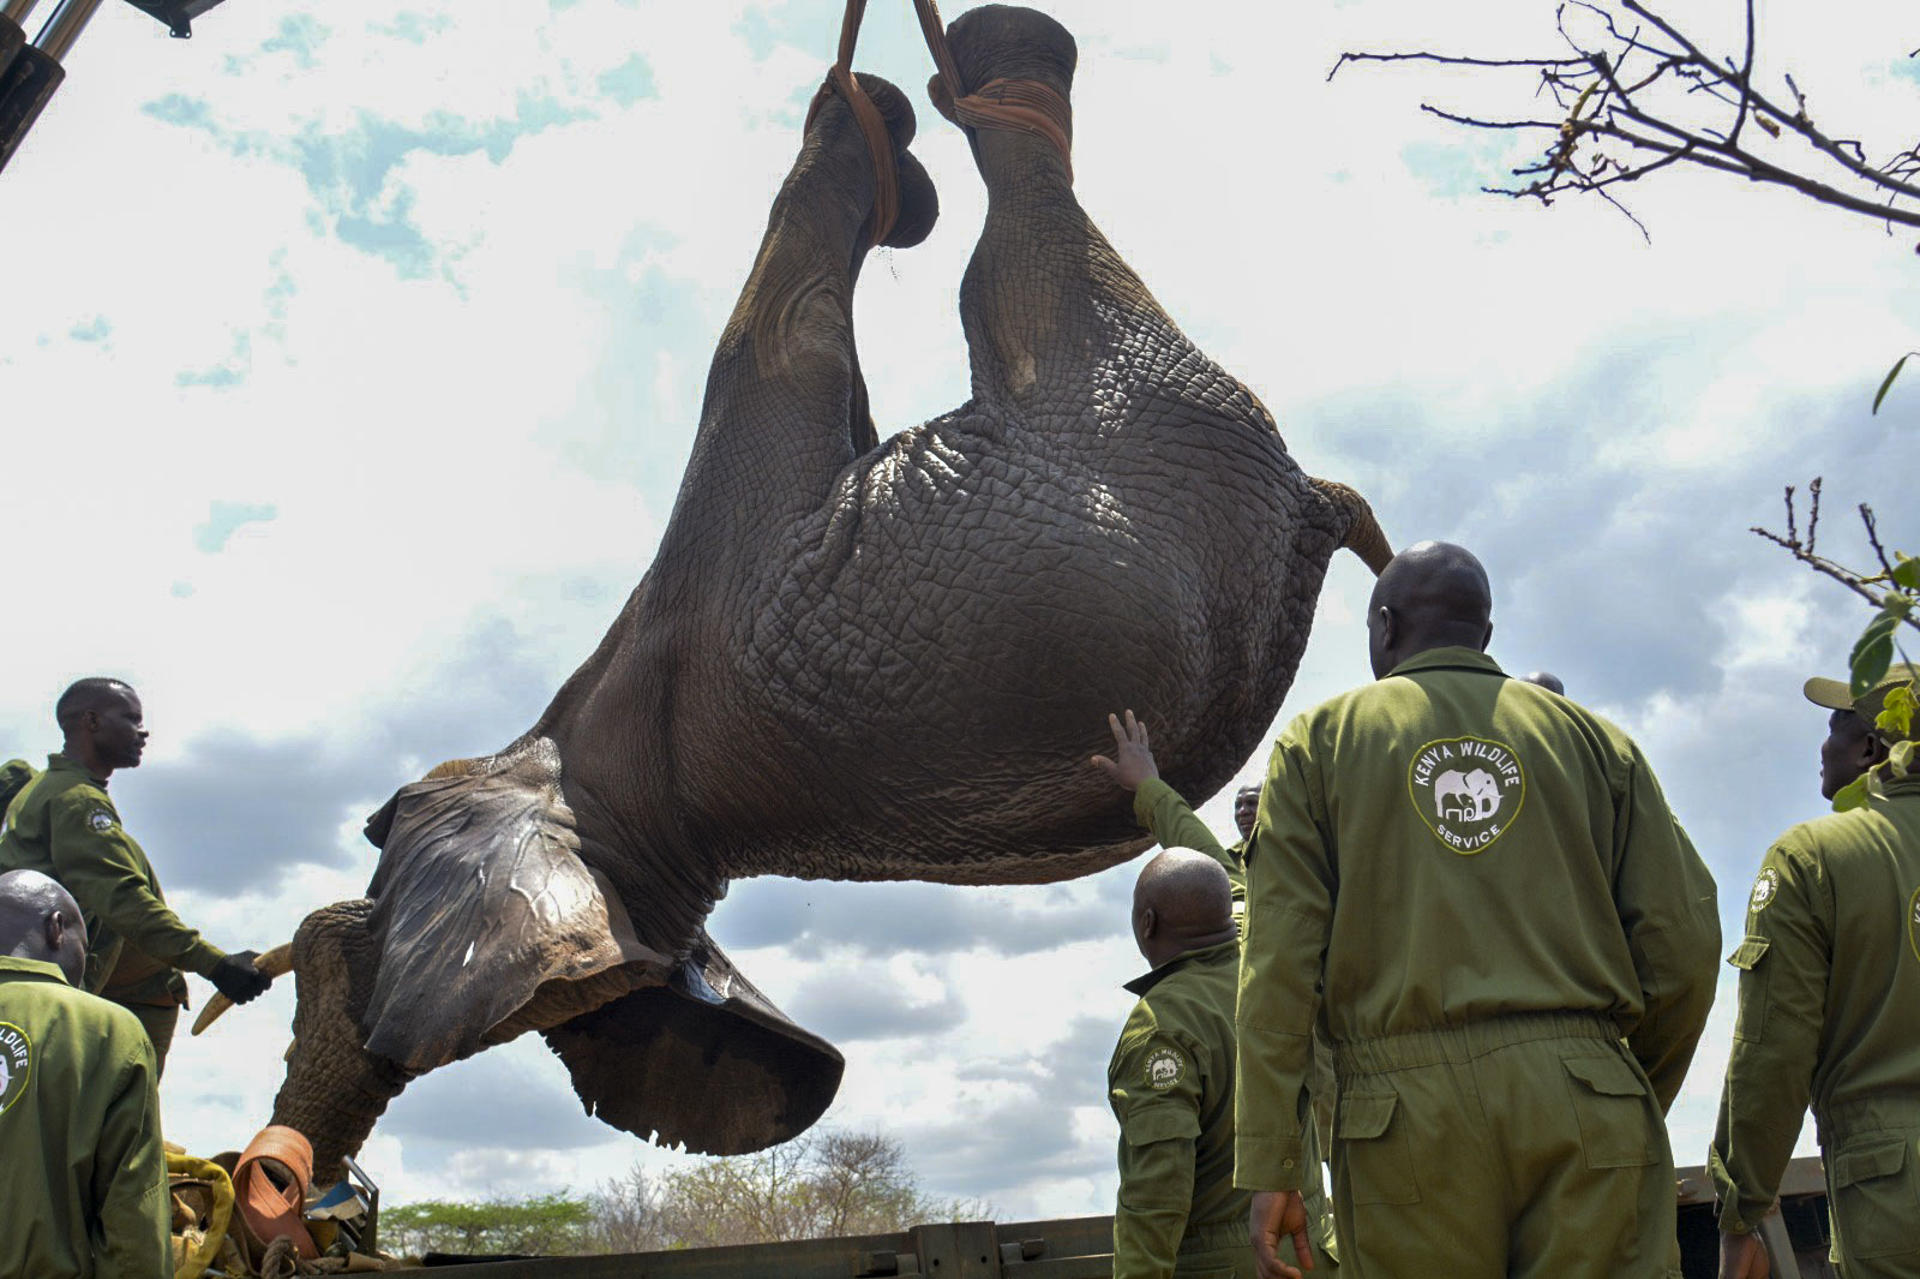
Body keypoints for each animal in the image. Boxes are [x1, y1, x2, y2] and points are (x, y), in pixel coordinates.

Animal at [202, 4, 1390, 1175]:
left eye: (388, 824)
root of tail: (1314, 506)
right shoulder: (751, 558)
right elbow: (792, 322)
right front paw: (883, 142)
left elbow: (774, 325)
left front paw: (881, 141)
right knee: (1006, 264)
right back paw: (990, 73)